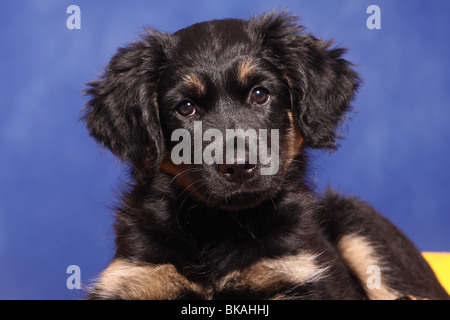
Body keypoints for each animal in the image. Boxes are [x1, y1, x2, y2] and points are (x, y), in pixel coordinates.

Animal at [82, 10, 448, 300]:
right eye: (185, 108)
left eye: (260, 94)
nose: (238, 167)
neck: (217, 225)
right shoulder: (134, 276)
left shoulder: (296, 274)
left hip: (359, 221)